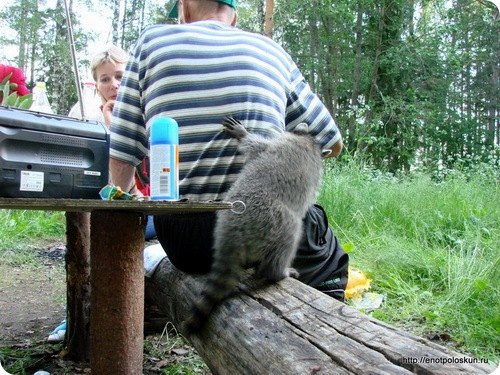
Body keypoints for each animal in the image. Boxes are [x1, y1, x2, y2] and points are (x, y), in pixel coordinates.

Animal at [184, 117, 328, 334]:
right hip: (275, 221)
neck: (306, 141)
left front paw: (242, 134)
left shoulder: (272, 146)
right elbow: (254, 142)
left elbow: (253, 145)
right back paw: (278, 272)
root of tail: (231, 232)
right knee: (291, 234)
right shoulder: (282, 146)